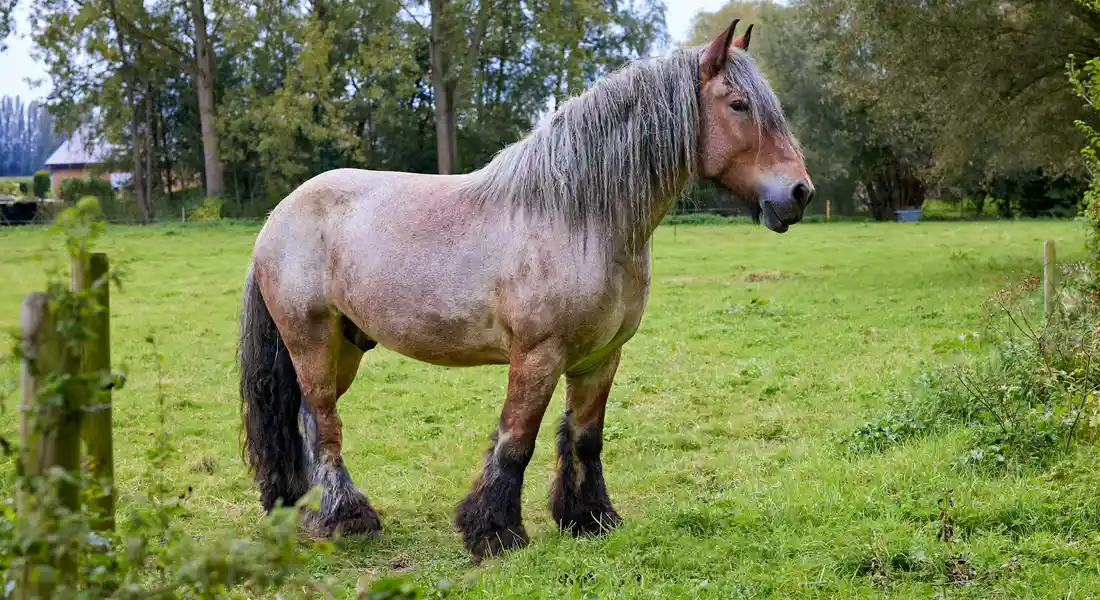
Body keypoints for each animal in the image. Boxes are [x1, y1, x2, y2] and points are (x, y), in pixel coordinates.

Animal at [238, 18, 814, 561]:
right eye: (739, 104)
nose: (799, 193)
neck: (578, 218)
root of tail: (278, 216)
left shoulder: (600, 357)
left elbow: (586, 438)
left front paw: (590, 518)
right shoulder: (537, 355)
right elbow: (516, 442)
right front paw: (495, 532)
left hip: (347, 346)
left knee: (304, 419)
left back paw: (301, 507)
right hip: (311, 340)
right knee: (324, 423)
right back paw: (345, 518)